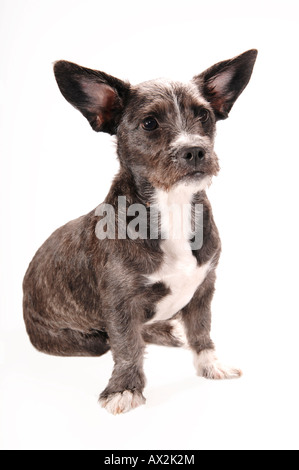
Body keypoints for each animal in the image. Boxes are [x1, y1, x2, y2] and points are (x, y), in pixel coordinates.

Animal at [23, 49, 258, 414]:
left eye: (204, 115)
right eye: (150, 123)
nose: (195, 150)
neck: (172, 205)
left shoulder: (204, 289)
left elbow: (201, 330)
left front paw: (210, 364)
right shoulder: (121, 304)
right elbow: (127, 345)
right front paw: (124, 388)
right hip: (84, 340)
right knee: (112, 341)